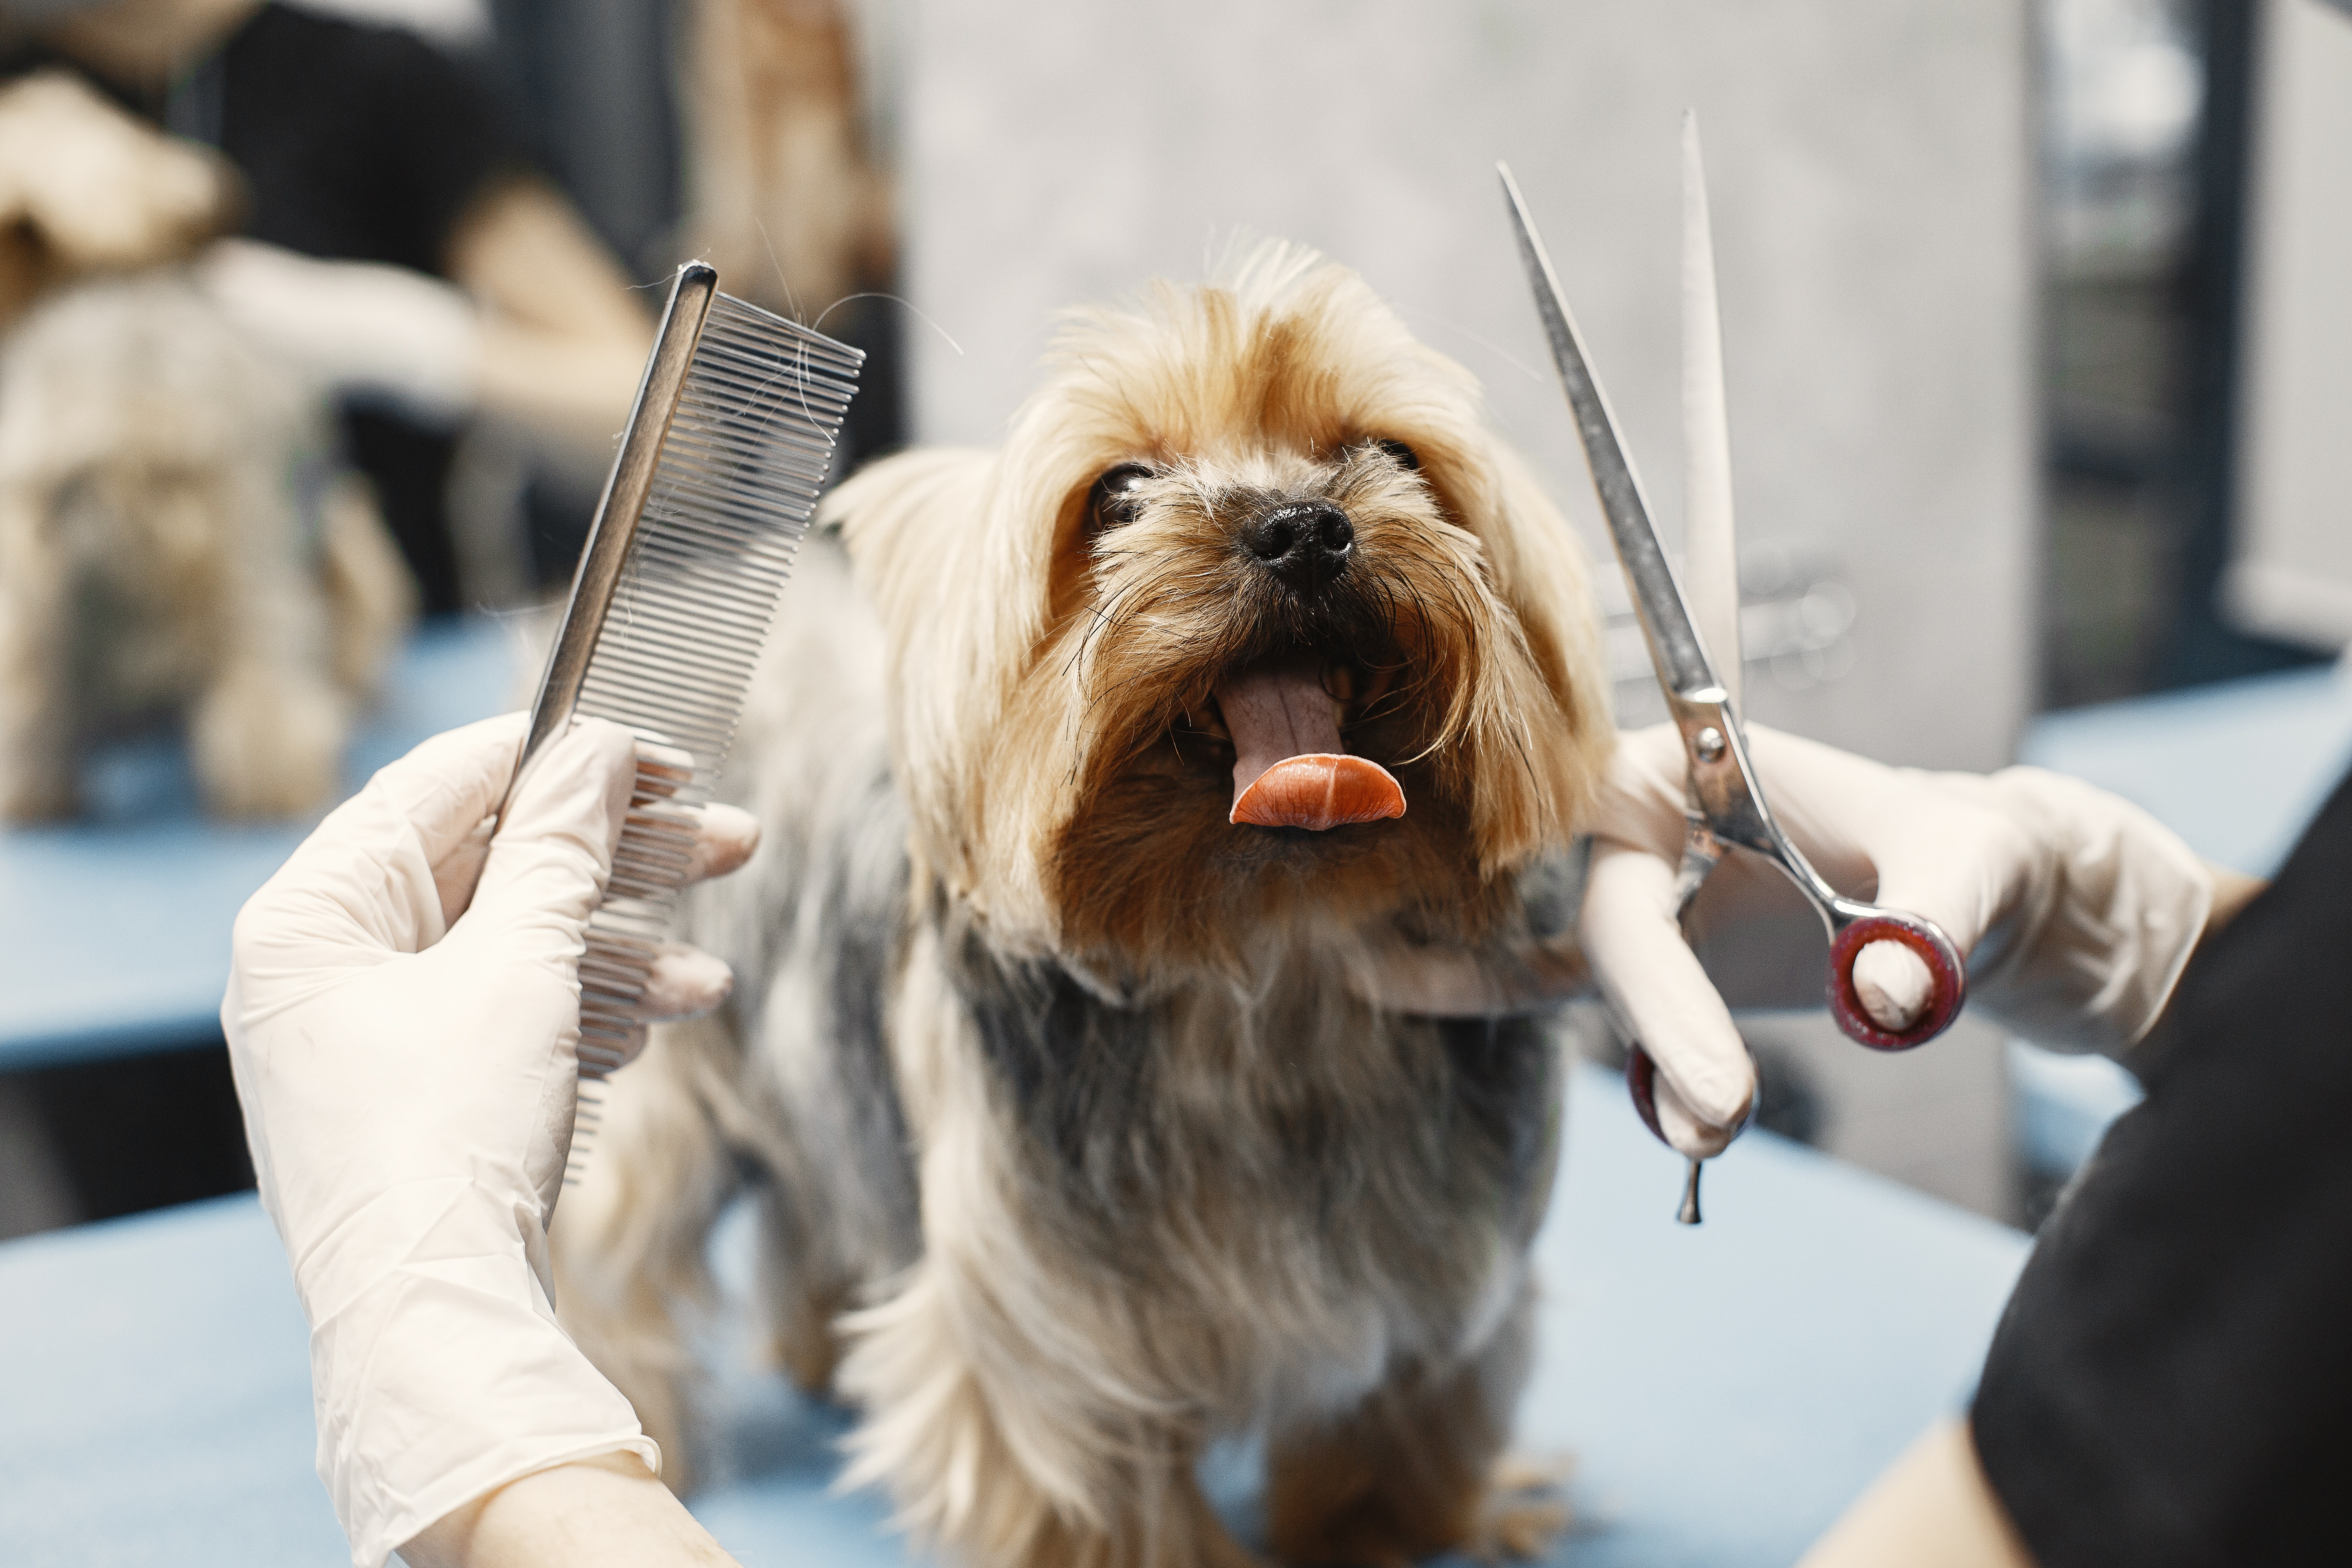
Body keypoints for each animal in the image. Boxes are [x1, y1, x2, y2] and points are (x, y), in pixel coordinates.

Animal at [557, 245, 1608, 1568]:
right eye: (1117, 492)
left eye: (1393, 455)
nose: (1303, 528)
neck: (1270, 962)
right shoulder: (1049, 1345)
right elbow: (1099, 1496)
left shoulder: (1444, 1292)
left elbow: (1398, 1443)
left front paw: (1405, 1533)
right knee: (613, 1242)